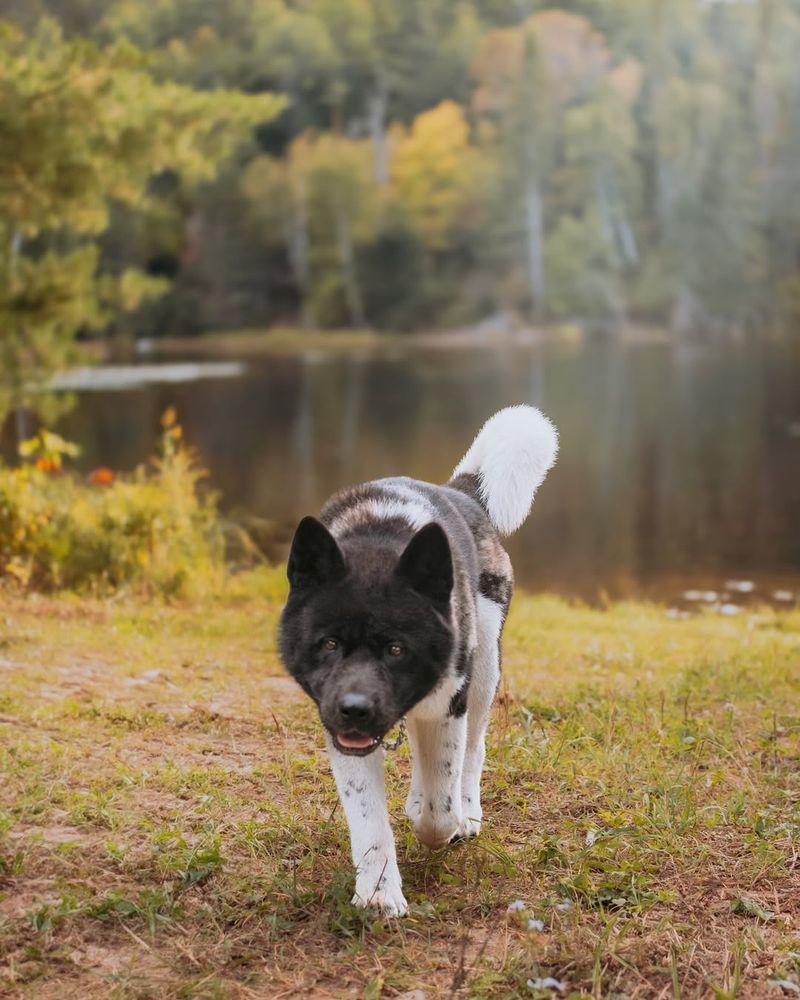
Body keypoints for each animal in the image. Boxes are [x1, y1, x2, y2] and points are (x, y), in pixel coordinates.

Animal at [280, 404, 556, 916]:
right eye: (328, 645)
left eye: (396, 648)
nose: (354, 709)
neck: (378, 541)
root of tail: (461, 491)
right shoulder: (341, 729)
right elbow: (368, 819)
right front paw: (377, 893)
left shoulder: (448, 702)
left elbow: (440, 808)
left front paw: (445, 827)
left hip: (483, 671)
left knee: (471, 750)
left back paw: (467, 810)